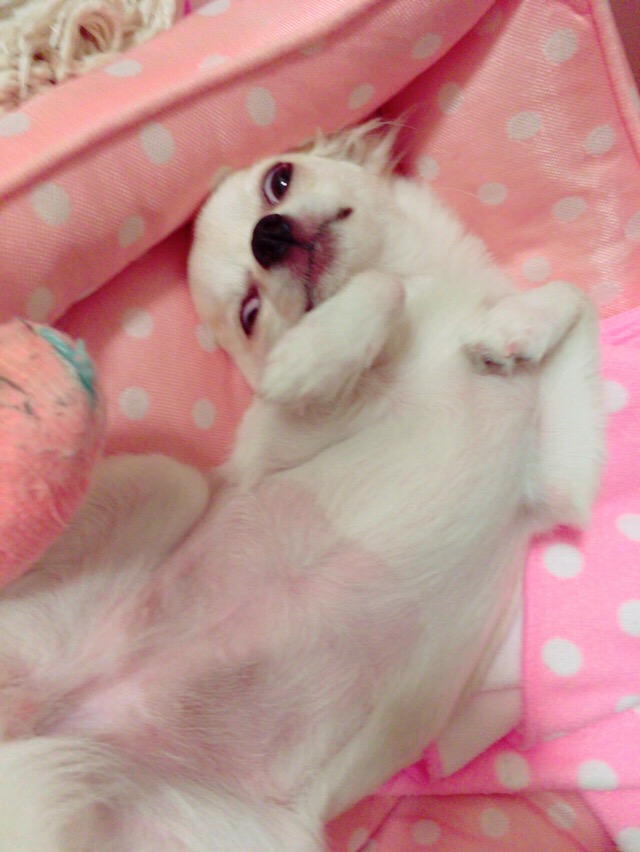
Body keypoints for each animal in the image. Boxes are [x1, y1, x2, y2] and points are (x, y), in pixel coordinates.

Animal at [0, 123, 604, 850]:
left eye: (279, 180)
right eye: (250, 312)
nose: (269, 234)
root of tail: (45, 720)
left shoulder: (560, 483)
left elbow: (580, 295)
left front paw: (511, 329)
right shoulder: (273, 443)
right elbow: (378, 290)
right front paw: (316, 353)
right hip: (167, 483)